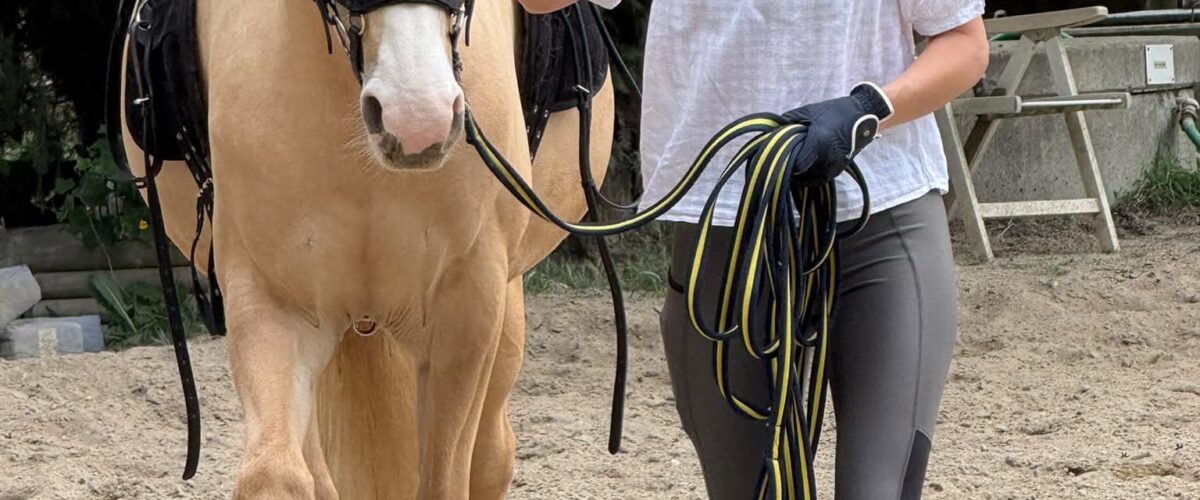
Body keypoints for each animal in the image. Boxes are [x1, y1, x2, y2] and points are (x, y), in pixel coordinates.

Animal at [119, 0, 614, 497]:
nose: (417, 119)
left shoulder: (464, 317)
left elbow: (444, 480)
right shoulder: (270, 303)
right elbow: (275, 475)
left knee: (492, 453)